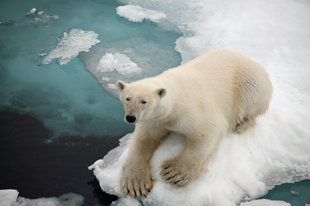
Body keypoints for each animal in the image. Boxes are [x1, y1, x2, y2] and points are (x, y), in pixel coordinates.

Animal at [115, 48, 272, 198]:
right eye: (127, 98)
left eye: (144, 101)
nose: (130, 117)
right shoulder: (154, 120)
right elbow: (143, 140)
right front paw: (136, 183)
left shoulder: (192, 110)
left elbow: (208, 131)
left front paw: (174, 172)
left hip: (249, 83)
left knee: (250, 103)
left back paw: (240, 125)